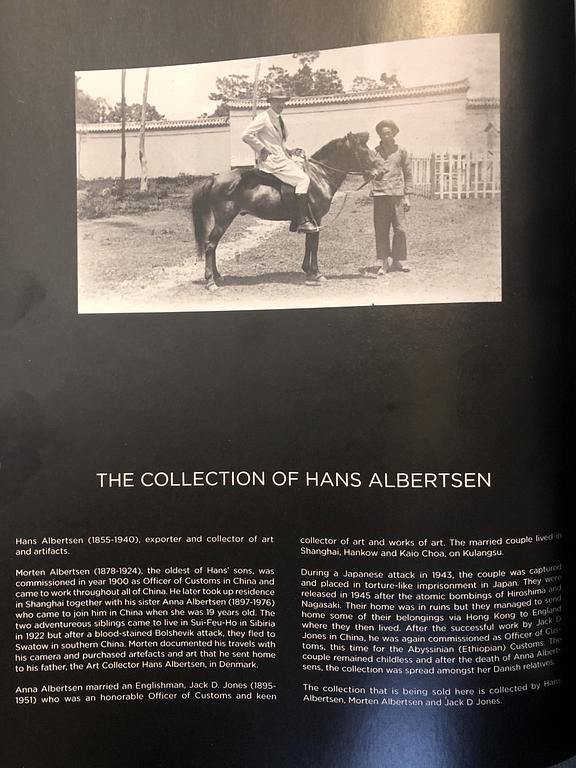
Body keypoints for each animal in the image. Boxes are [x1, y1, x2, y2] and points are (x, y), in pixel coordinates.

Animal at [191, 130, 376, 290]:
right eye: (363, 149)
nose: (377, 172)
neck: (319, 176)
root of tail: (215, 178)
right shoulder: (316, 219)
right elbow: (314, 245)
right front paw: (316, 273)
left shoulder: (310, 222)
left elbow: (308, 243)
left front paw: (307, 271)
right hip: (224, 219)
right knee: (210, 245)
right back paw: (210, 281)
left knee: (213, 245)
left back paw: (217, 276)